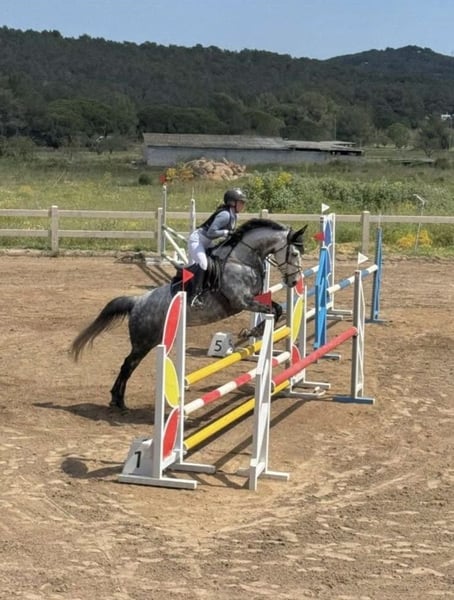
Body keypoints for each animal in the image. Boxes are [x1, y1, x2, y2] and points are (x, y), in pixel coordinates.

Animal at [70, 218, 307, 410]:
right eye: (294, 253)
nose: (294, 281)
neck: (241, 260)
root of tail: (137, 302)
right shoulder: (241, 301)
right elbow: (271, 311)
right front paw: (249, 332)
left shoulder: (254, 299)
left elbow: (277, 309)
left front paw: (251, 332)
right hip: (143, 342)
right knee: (127, 365)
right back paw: (117, 401)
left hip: (151, 340)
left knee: (129, 365)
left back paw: (117, 400)